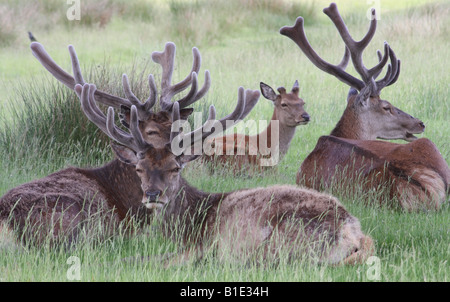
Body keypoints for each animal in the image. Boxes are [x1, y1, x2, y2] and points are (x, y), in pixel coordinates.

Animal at [76, 82, 372, 264]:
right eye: (139, 168)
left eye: (175, 168)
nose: (152, 194)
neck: (190, 222)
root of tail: (352, 231)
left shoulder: (202, 244)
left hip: (283, 240)